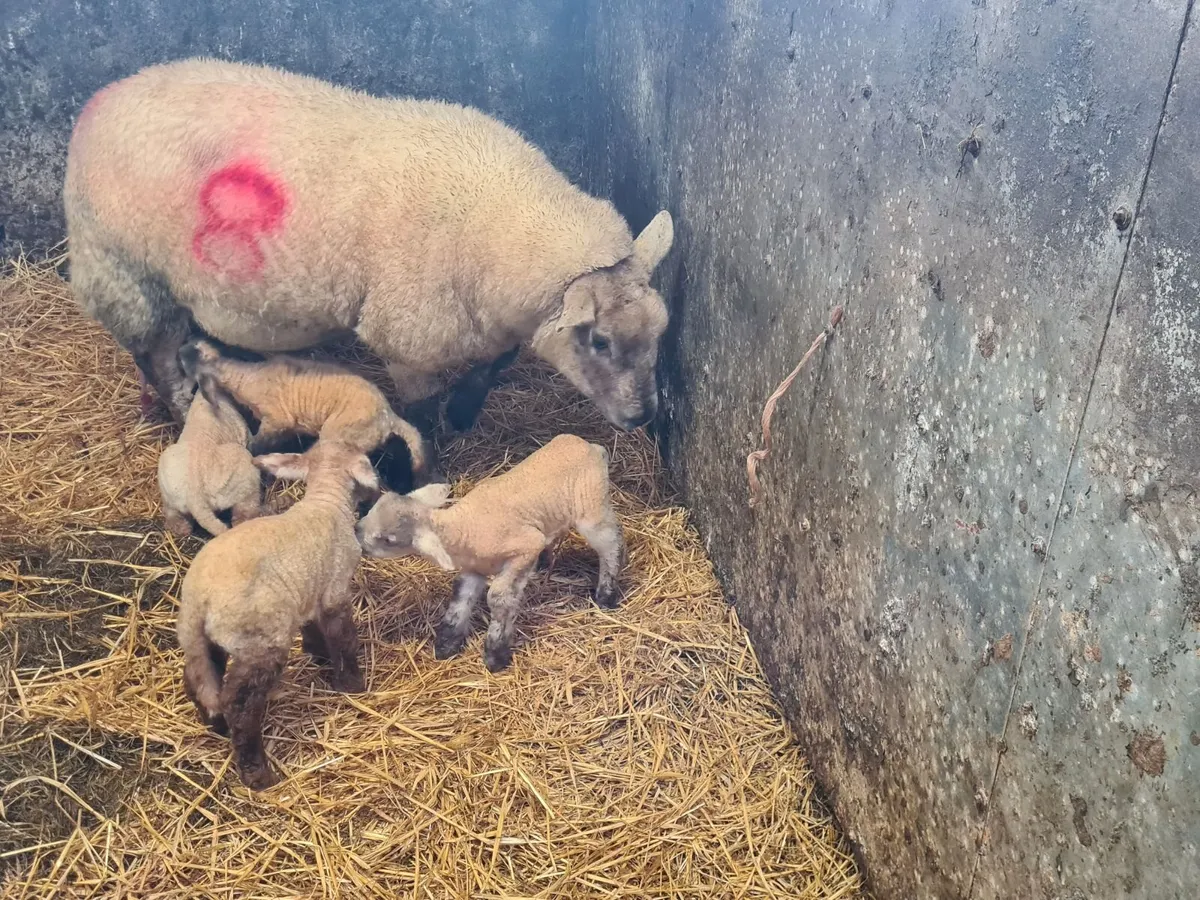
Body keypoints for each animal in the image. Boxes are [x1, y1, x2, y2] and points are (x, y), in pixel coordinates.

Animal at [64, 58, 674, 431]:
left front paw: (466, 412)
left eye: (659, 331)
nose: (643, 418)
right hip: (125, 270)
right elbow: (421, 413)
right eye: (599, 341)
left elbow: (493, 367)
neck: (494, 220)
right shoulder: (406, 335)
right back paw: (182, 413)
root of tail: (102, 99)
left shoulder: (498, 320)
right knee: (158, 358)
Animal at [157, 390, 263, 537]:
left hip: (169, 488)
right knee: (245, 507)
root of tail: (194, 494)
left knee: (172, 513)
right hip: (242, 477)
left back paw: (181, 528)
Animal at [177, 440, 378, 790]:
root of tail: (198, 598)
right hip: (260, 640)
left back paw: (215, 724)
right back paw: (258, 773)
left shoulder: (308, 592)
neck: (326, 502)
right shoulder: (335, 591)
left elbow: (314, 630)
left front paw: (318, 655)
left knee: (199, 678)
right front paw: (352, 684)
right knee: (240, 703)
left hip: (204, 639)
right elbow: (343, 639)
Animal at [178, 337, 428, 482]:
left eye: (190, 359)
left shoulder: (276, 419)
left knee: (314, 461)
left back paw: (271, 463)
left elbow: (258, 441)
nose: (180, 350)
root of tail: (389, 417)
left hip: (339, 435)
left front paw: (252, 451)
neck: (245, 378)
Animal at [356, 434, 625, 672]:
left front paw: (496, 655)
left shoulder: (524, 547)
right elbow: (460, 598)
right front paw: (446, 645)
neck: (462, 527)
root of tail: (593, 448)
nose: (356, 532)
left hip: (591, 507)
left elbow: (498, 597)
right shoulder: (474, 570)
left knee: (611, 544)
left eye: (388, 539)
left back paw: (606, 594)